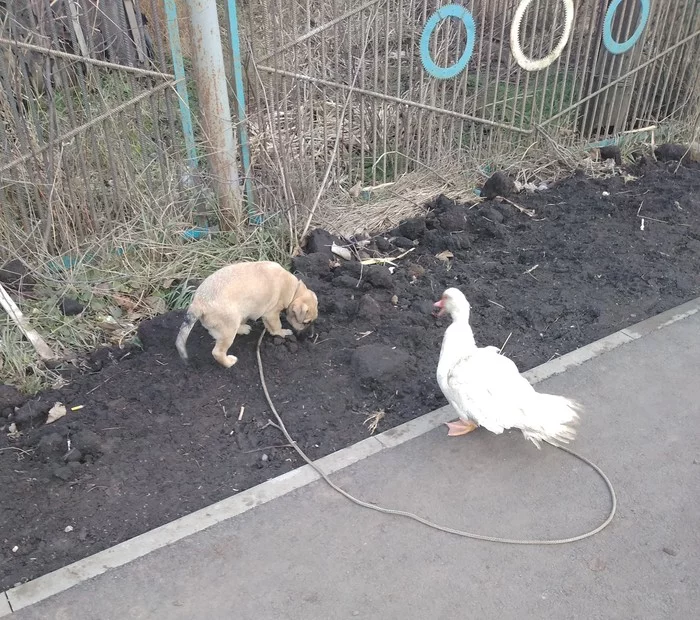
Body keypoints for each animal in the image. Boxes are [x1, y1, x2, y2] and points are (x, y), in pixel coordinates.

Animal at [176, 262, 318, 368]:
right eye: (305, 322)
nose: (311, 336)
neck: (294, 290)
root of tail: (198, 303)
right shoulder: (271, 314)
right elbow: (276, 327)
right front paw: (282, 333)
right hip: (228, 330)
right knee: (218, 352)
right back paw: (229, 362)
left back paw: (242, 329)